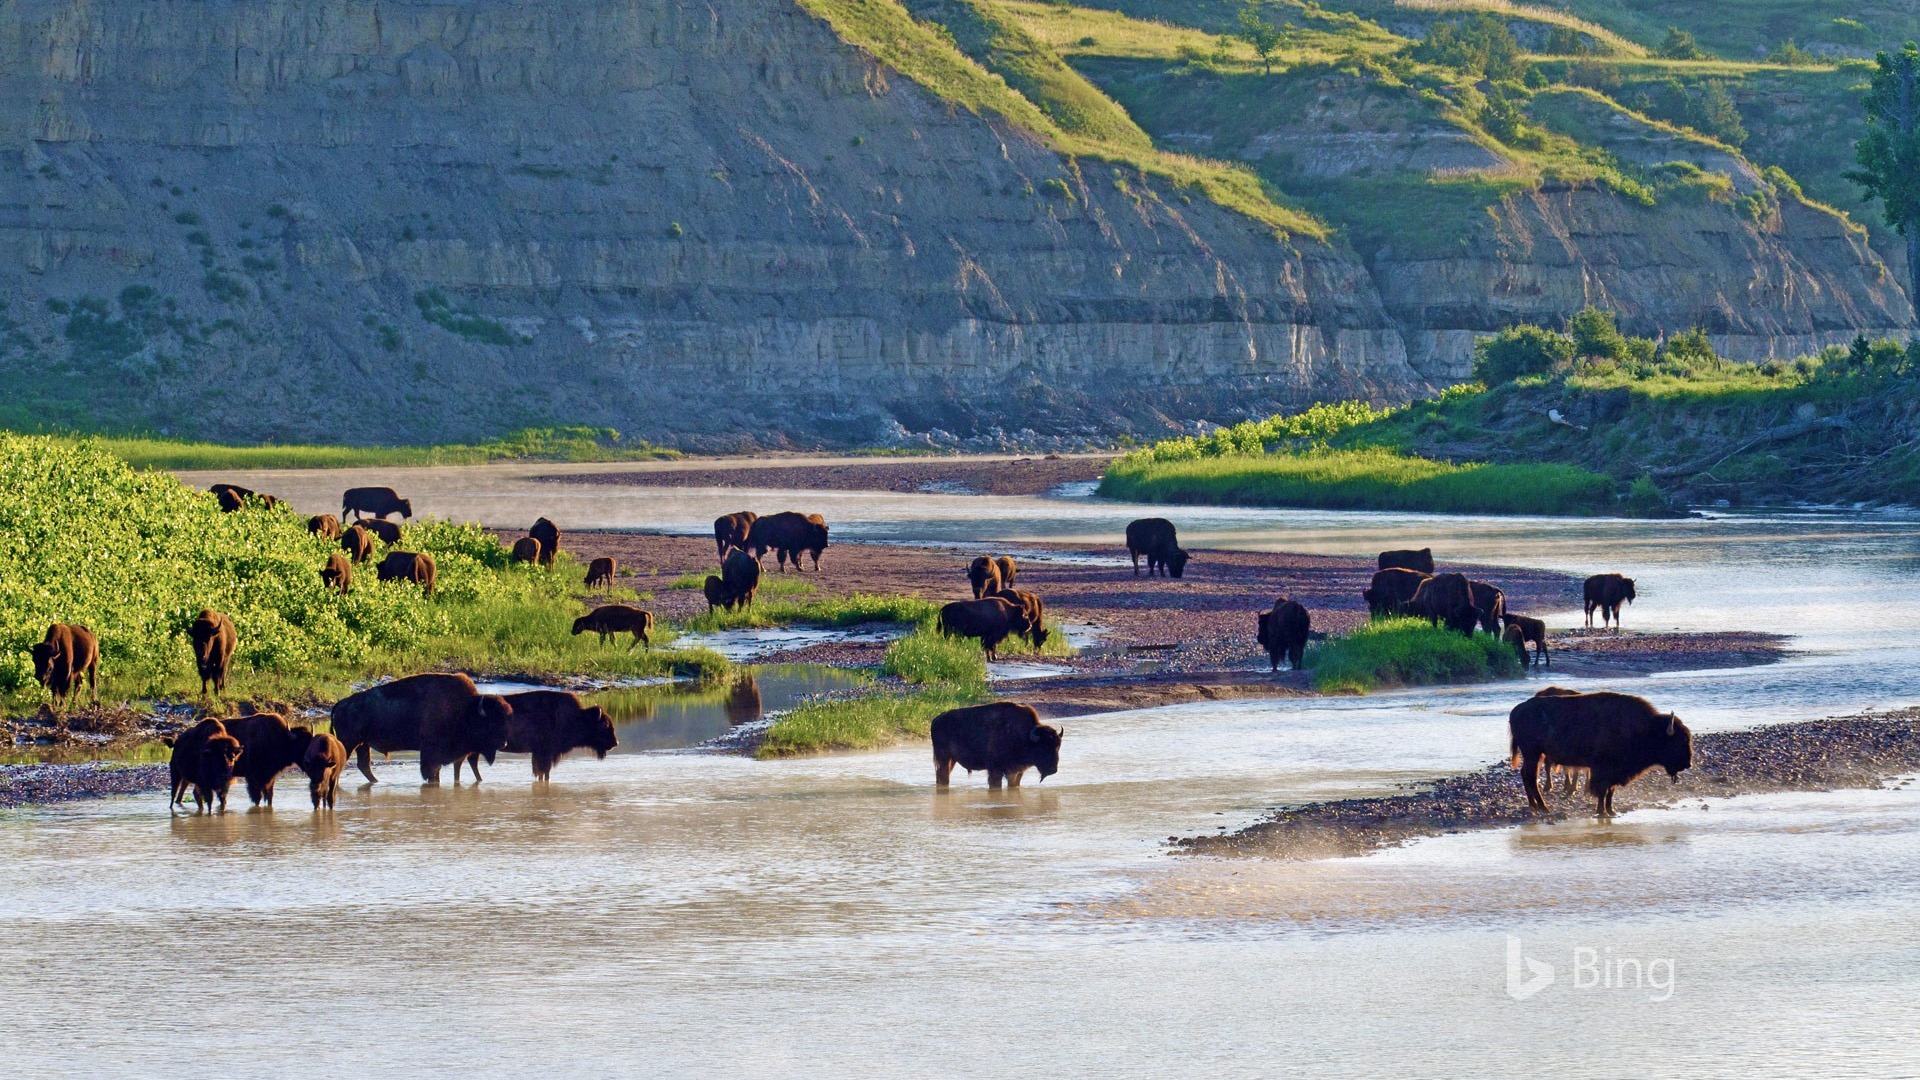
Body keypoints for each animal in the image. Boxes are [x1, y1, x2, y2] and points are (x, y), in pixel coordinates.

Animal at [330, 664, 514, 780]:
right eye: (491, 723)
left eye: (505, 720)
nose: (503, 744)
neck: (464, 709)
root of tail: (341, 704)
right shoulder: (430, 755)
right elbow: (430, 774)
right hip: (349, 742)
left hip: (363, 744)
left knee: (363, 765)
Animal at [487, 687, 622, 780]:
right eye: (604, 725)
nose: (615, 743)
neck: (575, 717)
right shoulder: (545, 754)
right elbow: (544, 773)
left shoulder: (540, 755)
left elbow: (541, 773)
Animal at [929, 691, 1067, 787]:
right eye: (1043, 747)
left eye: (1058, 746)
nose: (1053, 770)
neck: (1025, 736)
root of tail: (936, 720)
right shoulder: (996, 771)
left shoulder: (1017, 772)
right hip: (944, 758)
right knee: (943, 776)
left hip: (951, 760)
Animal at [1505, 684, 1689, 810]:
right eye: (1677, 741)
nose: (1688, 764)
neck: (1646, 728)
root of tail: (1516, 710)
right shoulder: (1602, 770)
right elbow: (1602, 791)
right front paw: (1602, 812)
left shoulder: (1613, 773)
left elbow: (1610, 792)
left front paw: (1611, 811)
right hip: (1533, 754)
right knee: (1530, 776)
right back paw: (1544, 807)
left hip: (1534, 755)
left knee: (1526, 775)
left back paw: (1534, 805)